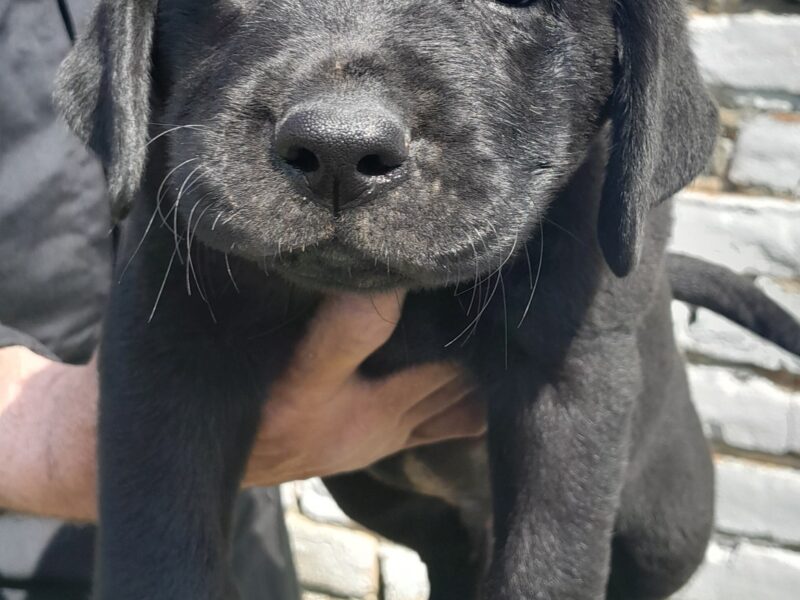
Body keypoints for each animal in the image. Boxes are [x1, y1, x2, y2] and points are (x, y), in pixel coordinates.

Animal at [54, 1, 724, 600]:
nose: (339, 150)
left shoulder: (570, 384)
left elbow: (549, 564)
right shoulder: (167, 351)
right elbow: (156, 546)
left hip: (666, 528)